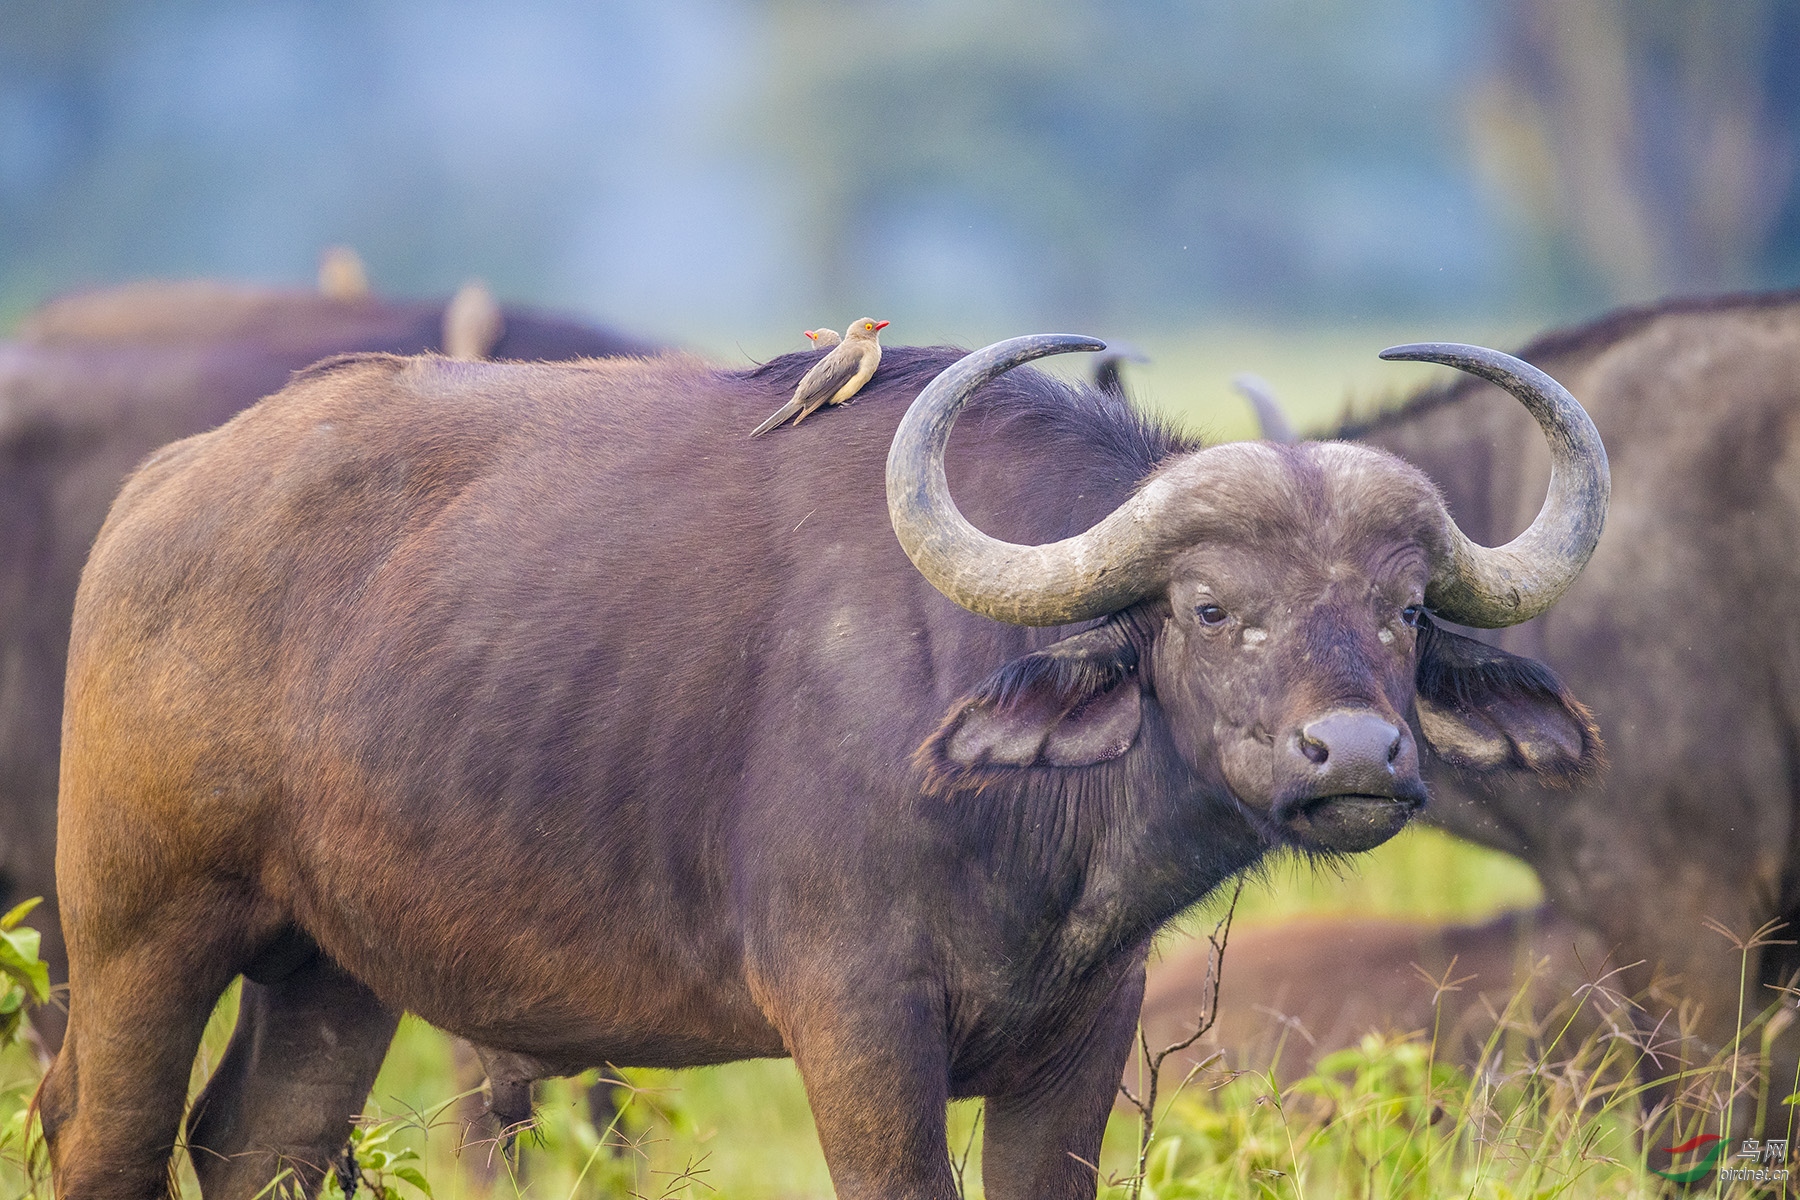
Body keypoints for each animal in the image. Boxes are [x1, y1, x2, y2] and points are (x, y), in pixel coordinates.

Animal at [49, 331, 1612, 1200]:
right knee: (103, 1136)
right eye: (1212, 607)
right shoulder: (856, 1024)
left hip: (332, 970)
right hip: (138, 932)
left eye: (1404, 609)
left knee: (251, 1146)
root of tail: (159, 495)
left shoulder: (1085, 1036)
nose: (1357, 753)